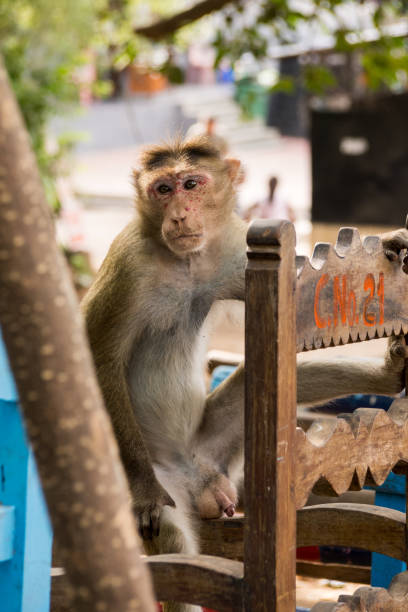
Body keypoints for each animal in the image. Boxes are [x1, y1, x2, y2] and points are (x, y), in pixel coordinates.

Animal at [82, 139, 408, 612]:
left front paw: (387, 240)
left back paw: (387, 376)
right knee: (172, 535)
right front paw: (143, 491)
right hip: (168, 478)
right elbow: (97, 350)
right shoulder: (130, 264)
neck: (184, 263)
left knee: (283, 374)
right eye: (162, 189)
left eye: (191, 184)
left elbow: (296, 276)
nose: (178, 214)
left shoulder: (234, 249)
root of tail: (198, 480)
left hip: (218, 449)